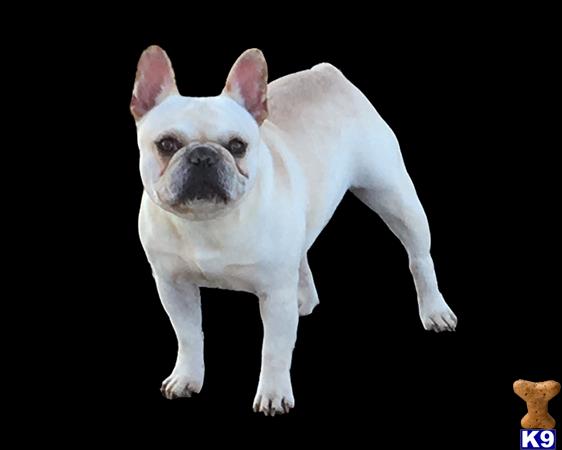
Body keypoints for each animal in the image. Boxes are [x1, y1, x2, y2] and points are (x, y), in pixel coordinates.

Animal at [129, 45, 452, 414]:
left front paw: (273, 394)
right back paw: (305, 298)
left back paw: (435, 310)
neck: (208, 222)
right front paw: (186, 378)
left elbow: (274, 350)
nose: (203, 156)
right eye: (166, 144)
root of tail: (325, 72)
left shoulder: (273, 293)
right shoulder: (173, 286)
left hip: (394, 196)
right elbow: (188, 335)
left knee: (419, 258)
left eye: (237, 146)